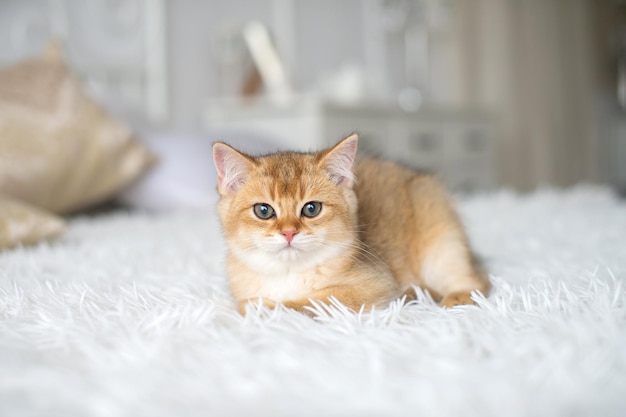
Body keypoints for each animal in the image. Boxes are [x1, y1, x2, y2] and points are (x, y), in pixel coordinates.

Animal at [212, 132, 490, 312]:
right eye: (263, 210)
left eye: (311, 209)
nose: (289, 232)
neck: (288, 272)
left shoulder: (376, 284)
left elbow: (314, 301)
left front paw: (266, 308)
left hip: (442, 244)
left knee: (478, 283)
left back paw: (457, 297)